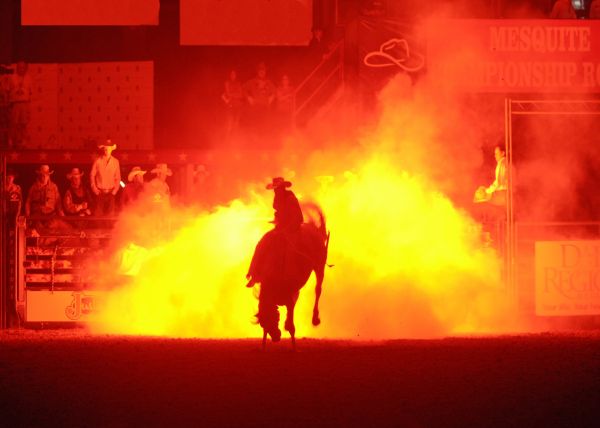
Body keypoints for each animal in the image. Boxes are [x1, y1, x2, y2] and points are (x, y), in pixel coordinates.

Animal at [250, 203, 330, 348]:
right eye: (264, 323)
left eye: (273, 317)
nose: (276, 338)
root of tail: (313, 227)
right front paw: (263, 345)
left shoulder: (289, 298)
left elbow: (292, 325)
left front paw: (293, 345)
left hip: (319, 266)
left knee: (318, 289)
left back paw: (315, 318)